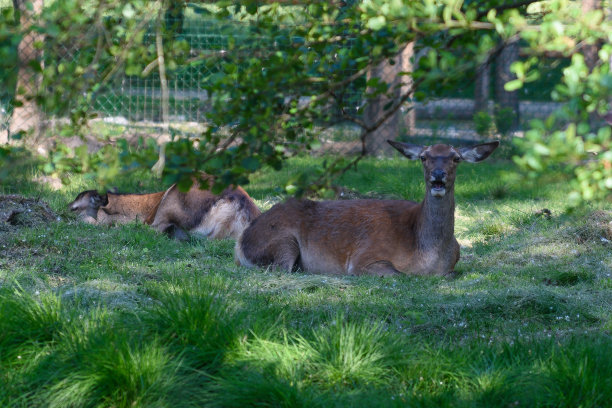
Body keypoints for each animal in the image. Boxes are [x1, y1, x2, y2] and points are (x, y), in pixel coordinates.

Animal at [237, 140, 500, 278]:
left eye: (456, 158)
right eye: (423, 157)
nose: (438, 175)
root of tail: (240, 241)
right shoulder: (363, 258)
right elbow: (398, 274)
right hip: (282, 241)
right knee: (281, 268)